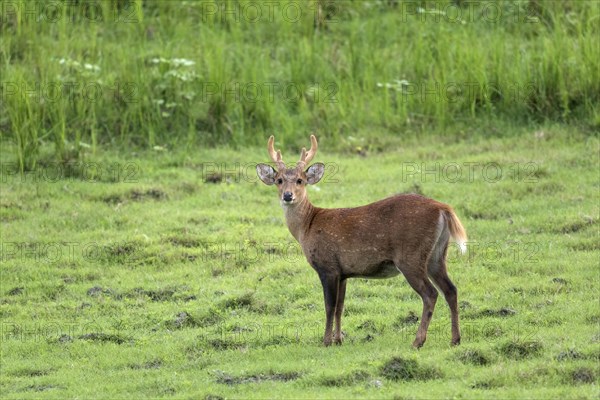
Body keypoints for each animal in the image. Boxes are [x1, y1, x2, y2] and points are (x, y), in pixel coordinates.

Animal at [255, 134, 466, 346]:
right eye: (279, 180)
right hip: (437, 254)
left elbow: (329, 306)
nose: (287, 195)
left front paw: (326, 341)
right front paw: (339, 340)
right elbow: (340, 307)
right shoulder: (343, 273)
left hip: (411, 255)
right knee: (451, 289)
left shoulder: (327, 266)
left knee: (431, 293)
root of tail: (443, 208)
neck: (308, 225)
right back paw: (455, 339)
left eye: (300, 180)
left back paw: (418, 341)